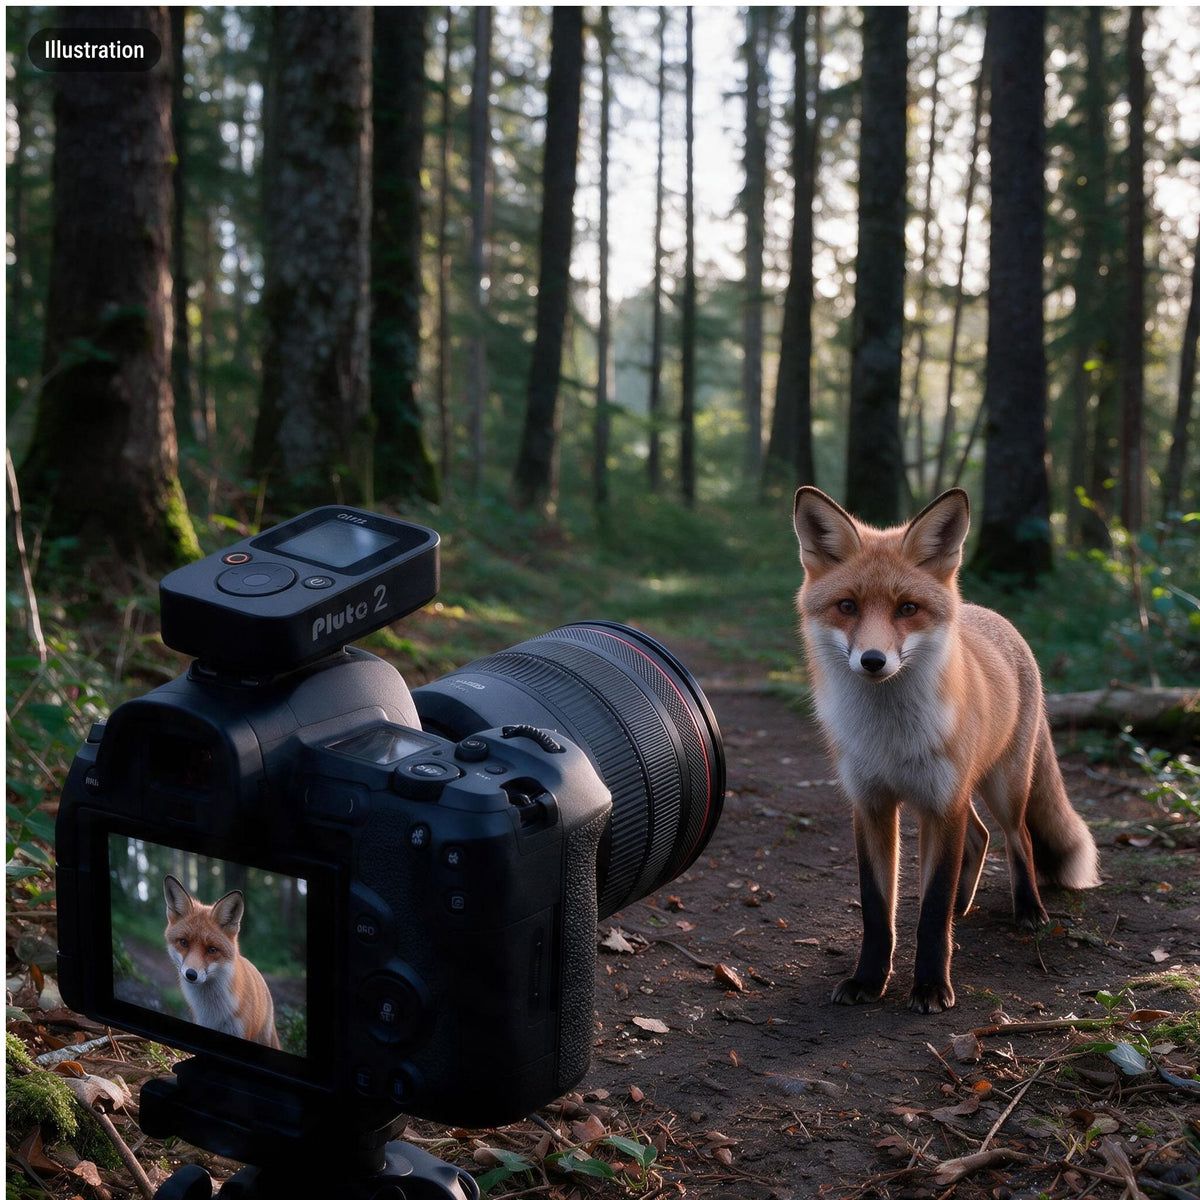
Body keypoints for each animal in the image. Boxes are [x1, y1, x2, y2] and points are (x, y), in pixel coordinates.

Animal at [792, 486, 1100, 1013]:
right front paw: (868, 979)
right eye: (847, 606)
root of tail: (986, 612)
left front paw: (932, 985)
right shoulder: (871, 804)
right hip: (960, 798)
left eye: (907, 609)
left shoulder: (942, 803)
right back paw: (964, 904)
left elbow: (932, 912)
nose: (873, 660)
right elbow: (877, 910)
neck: (890, 735)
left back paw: (1029, 909)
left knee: (1017, 838)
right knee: (980, 838)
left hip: (1002, 786)